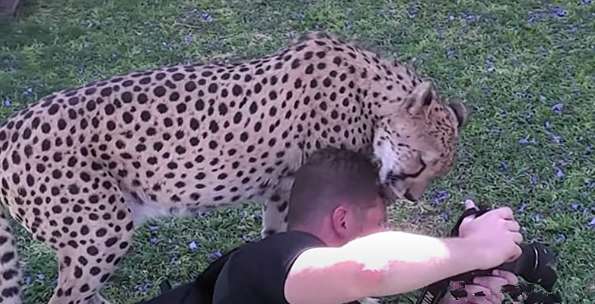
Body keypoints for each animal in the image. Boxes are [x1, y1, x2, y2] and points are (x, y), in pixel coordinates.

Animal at [0, 32, 468, 302]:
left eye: (437, 172)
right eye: (420, 162)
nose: (411, 195)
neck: (370, 97)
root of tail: (10, 125)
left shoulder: (282, 191)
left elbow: (282, 241)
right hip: (101, 233)